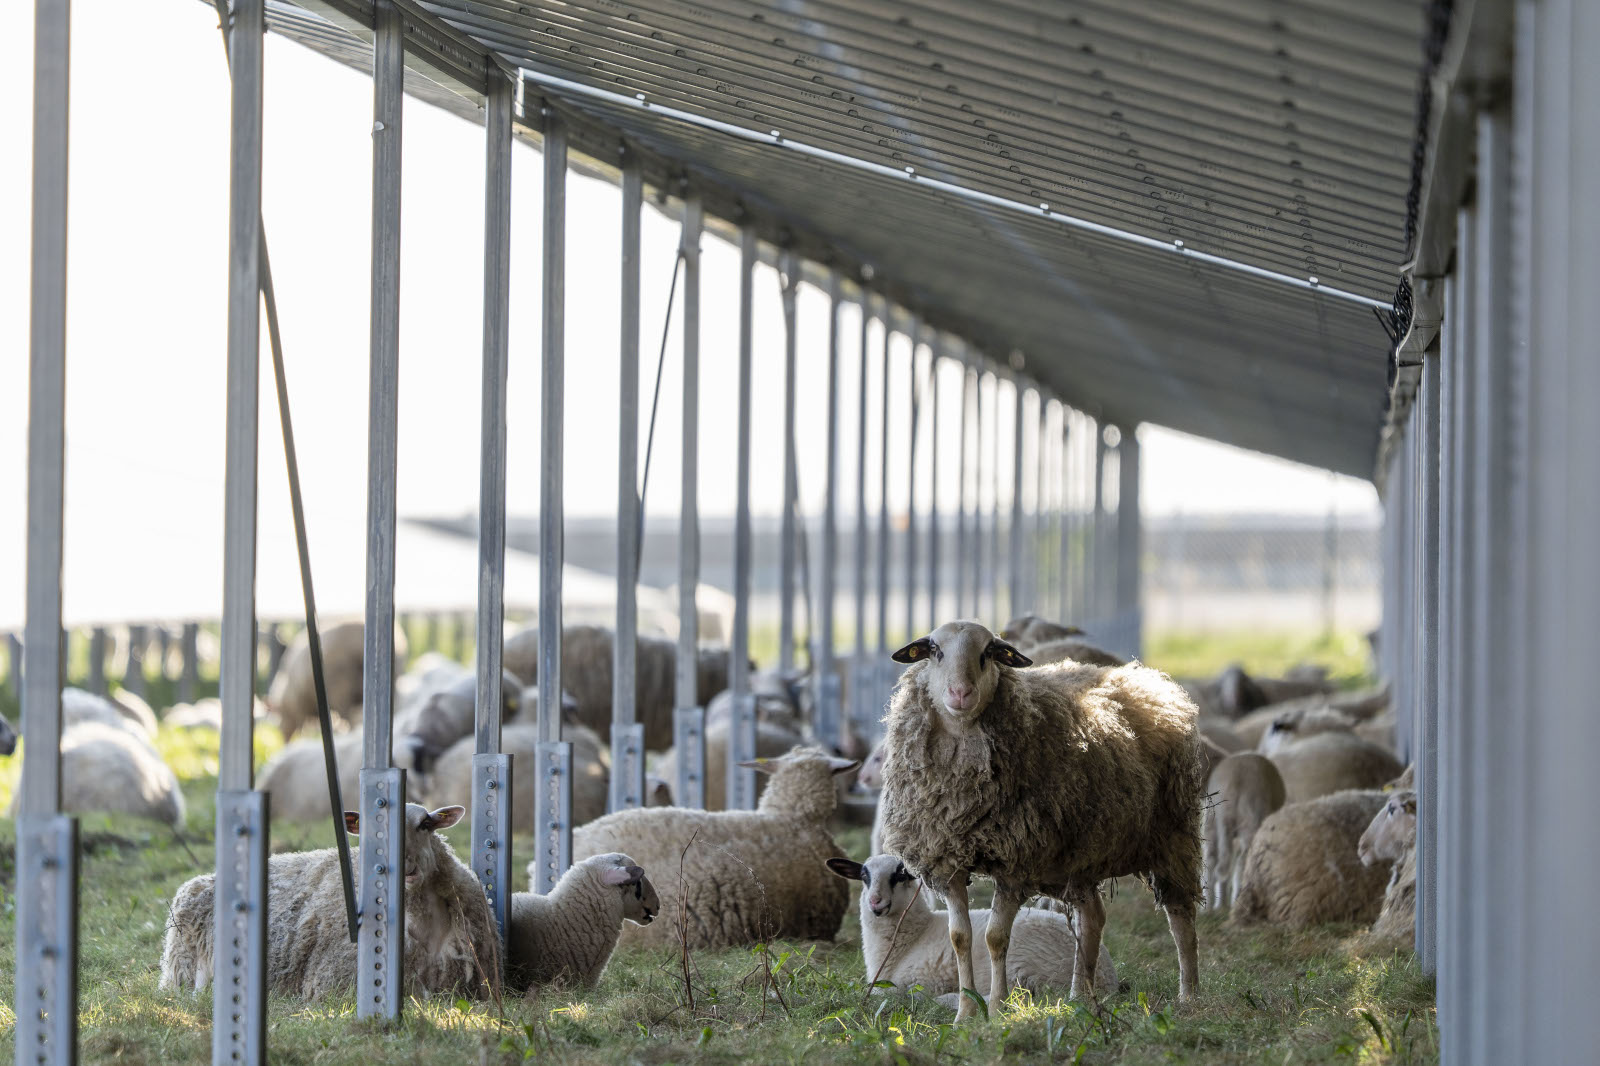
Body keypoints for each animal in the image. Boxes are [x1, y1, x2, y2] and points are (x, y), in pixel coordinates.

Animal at [266, 621, 408, 740]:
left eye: (277, 719)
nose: (284, 740)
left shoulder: (299, 709)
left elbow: (303, 727)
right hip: (393, 680)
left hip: (339, 687)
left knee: (347, 717)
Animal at [827, 854, 1118, 1003]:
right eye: (864, 876)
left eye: (900, 875)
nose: (875, 902)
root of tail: (1106, 978)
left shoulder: (916, 981)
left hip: (1022, 969)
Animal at [879, 621, 1205, 1019]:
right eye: (935, 651)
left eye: (988, 653)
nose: (961, 693)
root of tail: (1146, 677)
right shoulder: (947, 861)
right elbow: (960, 938)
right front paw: (966, 1013)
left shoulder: (1014, 864)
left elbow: (995, 938)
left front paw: (997, 1008)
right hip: (1078, 855)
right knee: (1092, 918)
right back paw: (1080, 998)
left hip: (1173, 832)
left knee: (1181, 915)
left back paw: (1189, 995)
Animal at [1203, 753, 1287, 910]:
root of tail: (1236, 778)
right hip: (1252, 817)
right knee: (1243, 862)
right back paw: (1237, 898)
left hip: (1212, 821)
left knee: (1212, 861)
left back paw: (1210, 908)